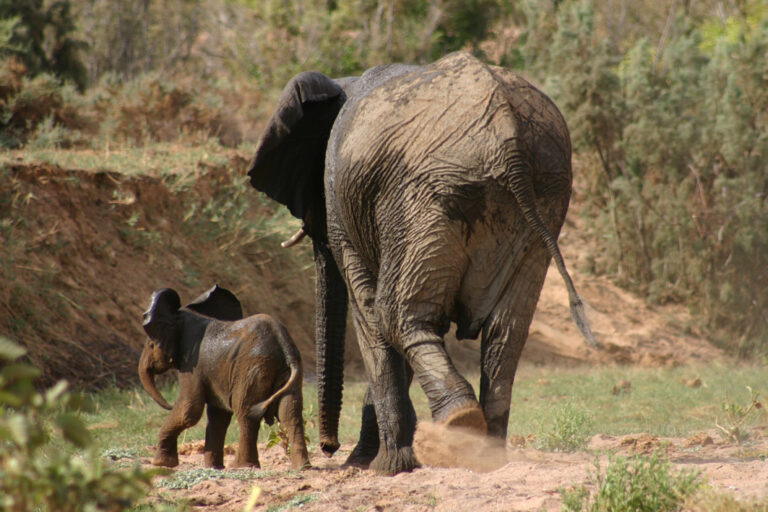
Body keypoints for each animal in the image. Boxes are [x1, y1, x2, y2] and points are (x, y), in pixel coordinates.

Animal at [138, 286, 308, 470]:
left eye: (151, 345)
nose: (169, 404)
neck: (181, 316)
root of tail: (284, 345)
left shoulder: (191, 363)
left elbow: (189, 410)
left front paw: (161, 463)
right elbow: (218, 416)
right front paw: (213, 467)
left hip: (252, 368)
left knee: (246, 413)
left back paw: (241, 466)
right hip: (286, 370)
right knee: (290, 413)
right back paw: (301, 467)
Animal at [246, 52, 592, 476]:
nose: (328, 449)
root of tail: (507, 134)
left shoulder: (342, 200)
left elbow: (368, 314)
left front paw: (383, 467)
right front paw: (376, 461)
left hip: (426, 197)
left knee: (394, 313)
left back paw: (459, 422)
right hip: (543, 196)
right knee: (506, 331)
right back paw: (486, 454)